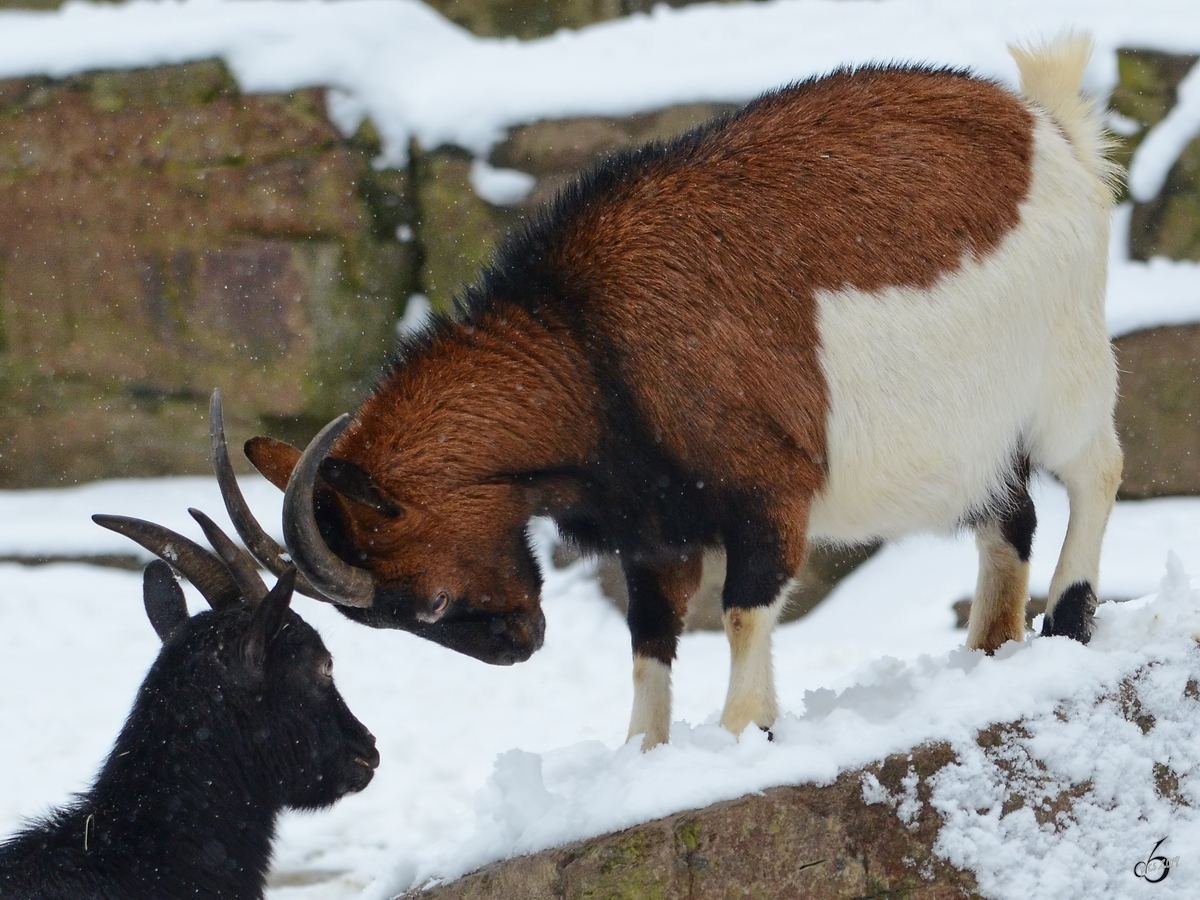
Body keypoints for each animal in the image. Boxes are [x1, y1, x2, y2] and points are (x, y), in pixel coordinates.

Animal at [220, 35, 1118, 748]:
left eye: (430, 605)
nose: (519, 643)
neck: (586, 345)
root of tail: (1046, 125)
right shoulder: (654, 532)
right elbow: (649, 640)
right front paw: (641, 755)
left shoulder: (767, 488)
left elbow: (745, 608)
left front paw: (744, 729)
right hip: (977, 436)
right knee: (1010, 515)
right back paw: (989, 649)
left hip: (1064, 372)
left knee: (1094, 470)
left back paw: (1069, 620)